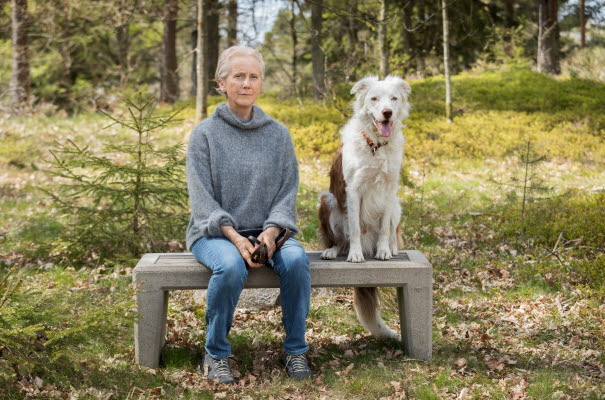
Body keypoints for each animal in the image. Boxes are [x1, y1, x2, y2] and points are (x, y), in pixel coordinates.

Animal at [316, 74, 410, 338]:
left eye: (394, 98)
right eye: (374, 99)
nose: (387, 113)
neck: (375, 144)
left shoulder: (389, 189)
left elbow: (386, 227)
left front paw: (384, 251)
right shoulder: (353, 190)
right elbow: (355, 228)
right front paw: (356, 255)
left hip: (397, 205)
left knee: (393, 230)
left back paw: (392, 248)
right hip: (327, 200)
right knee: (341, 238)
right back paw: (334, 250)